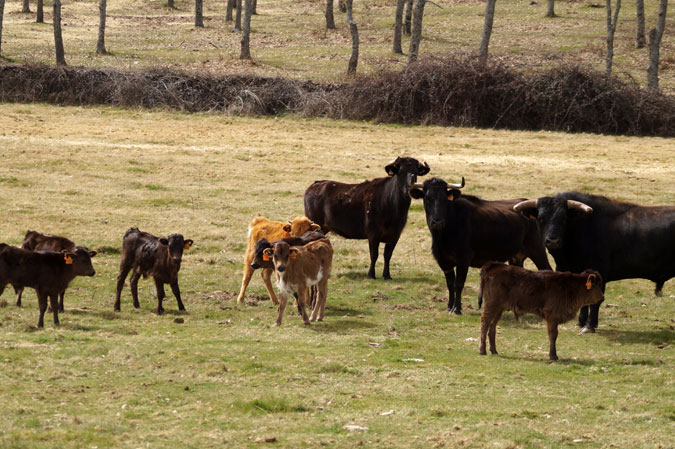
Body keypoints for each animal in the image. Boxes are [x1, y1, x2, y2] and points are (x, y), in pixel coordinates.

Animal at [516, 191, 675, 330]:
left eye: (564, 219)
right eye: (541, 218)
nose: (553, 241)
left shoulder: (599, 272)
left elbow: (595, 301)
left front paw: (589, 326)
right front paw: (581, 322)